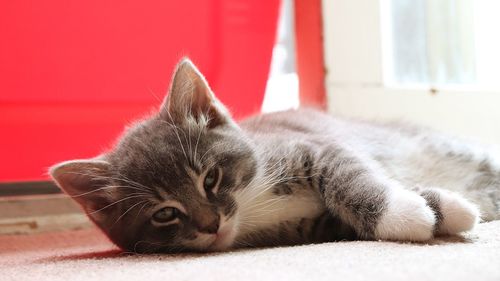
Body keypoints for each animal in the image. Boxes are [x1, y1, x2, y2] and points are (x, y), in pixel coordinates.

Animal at [50, 58, 500, 253]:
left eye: (210, 178)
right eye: (164, 213)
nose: (212, 224)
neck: (251, 204)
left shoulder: (312, 146)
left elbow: (351, 176)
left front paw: (415, 209)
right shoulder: (306, 228)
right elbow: (344, 221)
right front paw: (433, 210)